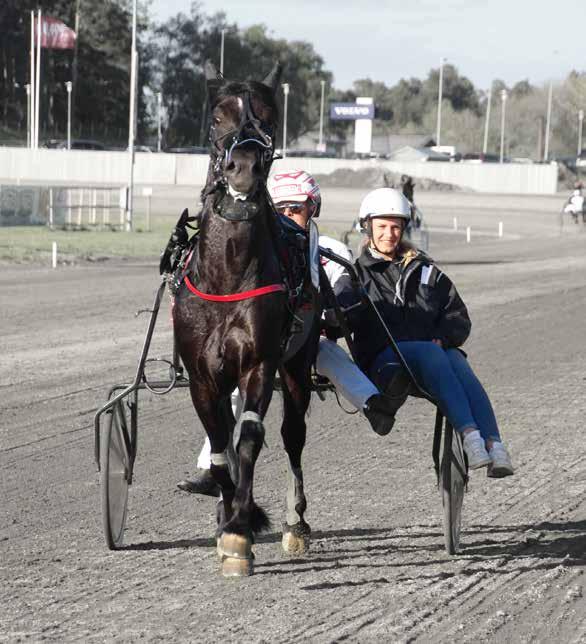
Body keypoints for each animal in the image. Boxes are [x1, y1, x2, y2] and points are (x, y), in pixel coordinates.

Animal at [172, 59, 320, 572]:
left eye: (270, 119)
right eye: (218, 118)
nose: (244, 169)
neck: (228, 273)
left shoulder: (261, 363)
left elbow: (249, 437)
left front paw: (239, 530)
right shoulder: (201, 375)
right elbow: (220, 450)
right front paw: (228, 517)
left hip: (297, 364)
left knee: (294, 435)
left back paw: (296, 524)